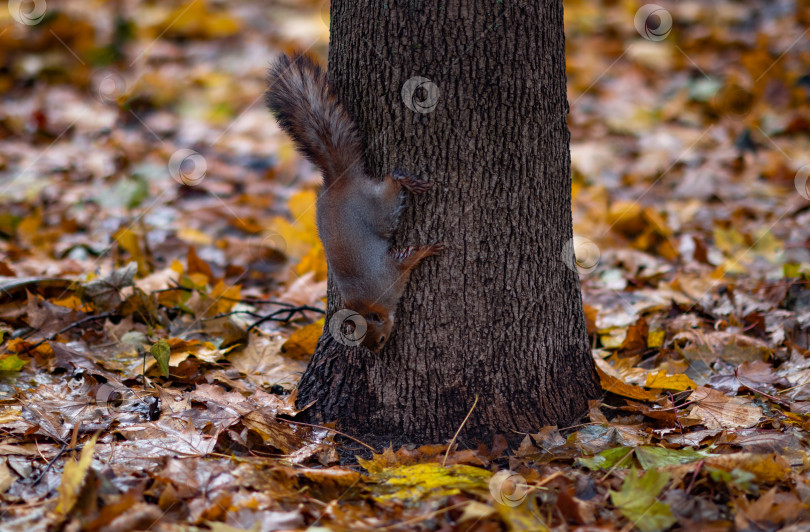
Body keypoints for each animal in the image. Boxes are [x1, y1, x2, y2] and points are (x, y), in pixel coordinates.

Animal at [266, 55, 442, 354]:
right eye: (365, 342)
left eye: (379, 339)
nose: (378, 353)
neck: (364, 301)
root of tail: (341, 182)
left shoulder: (389, 275)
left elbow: (406, 262)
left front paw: (423, 251)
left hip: (380, 210)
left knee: (391, 182)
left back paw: (406, 181)